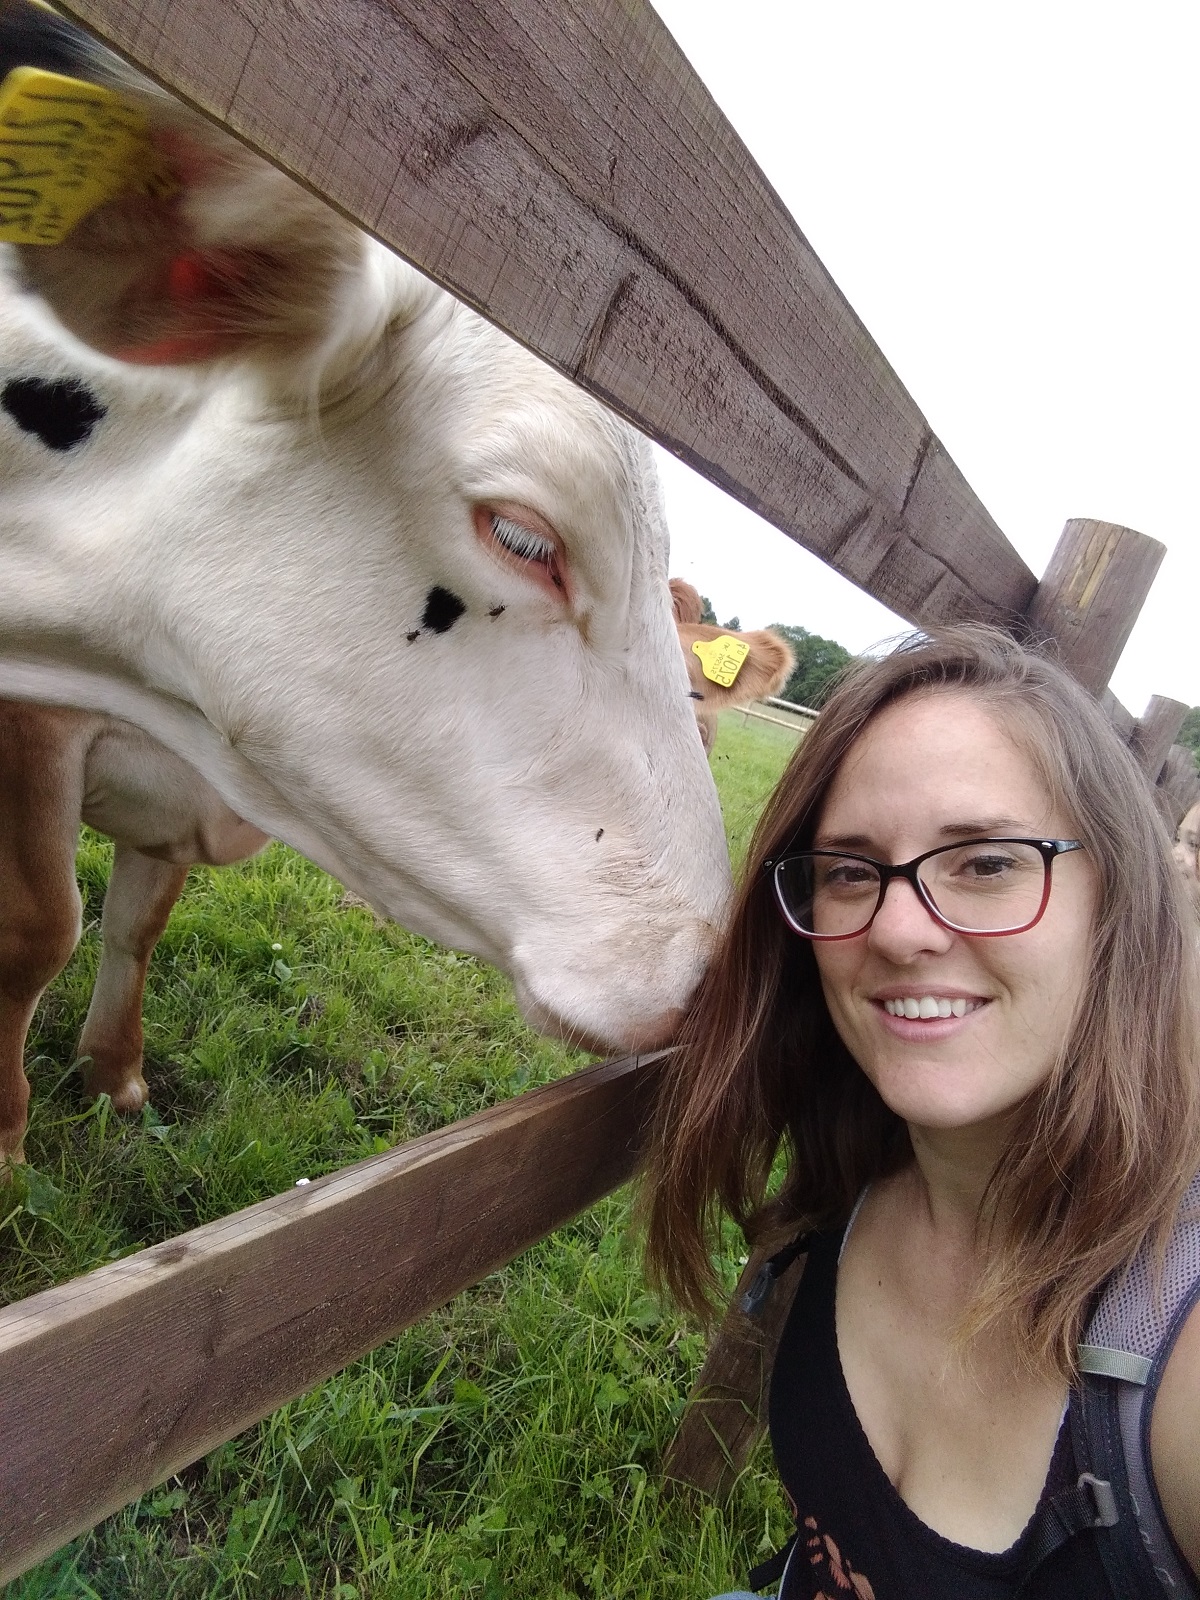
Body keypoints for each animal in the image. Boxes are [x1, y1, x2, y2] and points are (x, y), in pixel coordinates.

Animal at [0, 4, 733, 1164]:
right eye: (522, 536)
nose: (716, 973)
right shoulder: (30, 731)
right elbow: (37, 928)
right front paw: (8, 1148)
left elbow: (138, 915)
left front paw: (114, 1077)